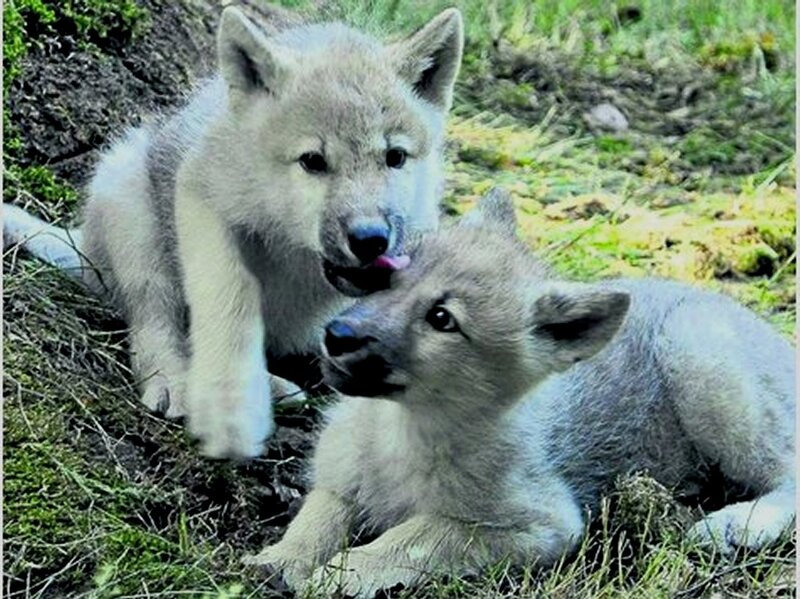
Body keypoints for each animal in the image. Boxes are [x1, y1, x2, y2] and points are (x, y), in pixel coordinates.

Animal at [3, 4, 464, 458]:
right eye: (313, 161)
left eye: (395, 157)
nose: (370, 240)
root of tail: (86, 249)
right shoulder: (202, 196)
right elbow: (230, 300)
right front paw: (229, 411)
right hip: (129, 209)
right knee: (156, 318)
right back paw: (176, 382)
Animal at [246, 190, 796, 597]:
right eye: (391, 277)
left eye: (442, 319)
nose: (336, 336)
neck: (399, 430)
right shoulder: (336, 482)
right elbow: (317, 518)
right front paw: (280, 561)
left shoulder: (540, 525)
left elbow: (420, 534)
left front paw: (347, 572)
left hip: (702, 357)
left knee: (788, 473)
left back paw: (738, 524)